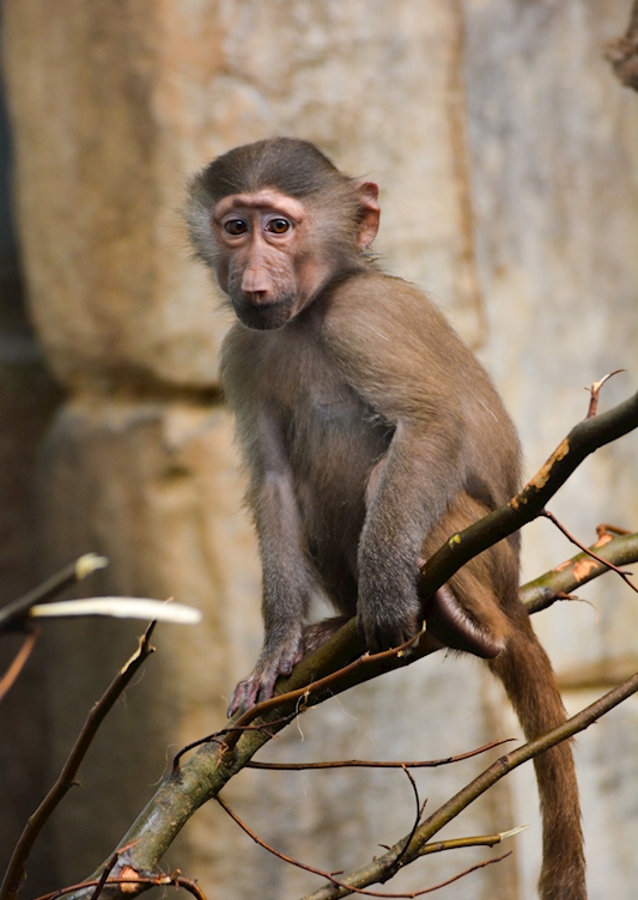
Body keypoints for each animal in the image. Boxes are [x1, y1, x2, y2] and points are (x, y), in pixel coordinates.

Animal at [186, 137, 586, 900]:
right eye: (235, 227)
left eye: (279, 226)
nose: (252, 275)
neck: (311, 314)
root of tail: (512, 591)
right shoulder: (243, 350)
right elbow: (275, 485)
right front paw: (277, 645)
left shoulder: (363, 319)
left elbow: (430, 424)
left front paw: (388, 596)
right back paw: (338, 628)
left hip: (482, 549)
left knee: (396, 474)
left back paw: (452, 615)